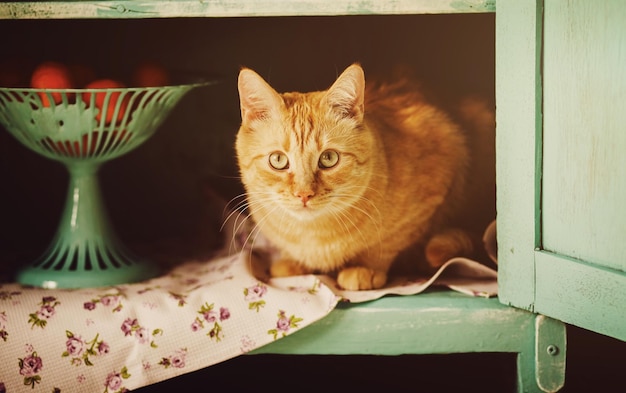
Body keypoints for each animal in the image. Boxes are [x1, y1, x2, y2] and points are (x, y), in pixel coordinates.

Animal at [234, 63, 492, 290]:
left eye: (329, 158)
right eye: (278, 160)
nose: (304, 194)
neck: (314, 234)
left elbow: (387, 243)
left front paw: (365, 268)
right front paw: (291, 261)